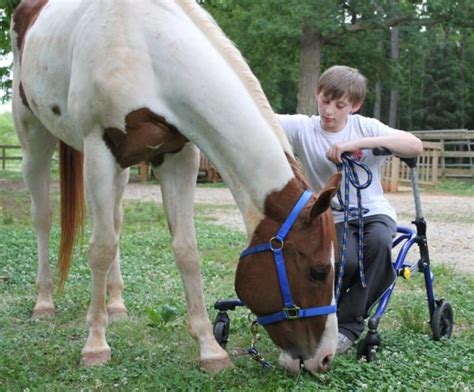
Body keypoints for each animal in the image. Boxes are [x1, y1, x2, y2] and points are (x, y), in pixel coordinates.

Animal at [11, 0, 340, 374]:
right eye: (319, 271)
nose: (325, 357)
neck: (142, 44)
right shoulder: (98, 149)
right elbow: (101, 248)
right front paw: (95, 344)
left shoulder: (178, 156)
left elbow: (186, 251)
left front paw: (210, 348)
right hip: (35, 138)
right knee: (44, 218)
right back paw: (44, 301)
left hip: (121, 170)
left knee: (115, 220)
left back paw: (116, 303)